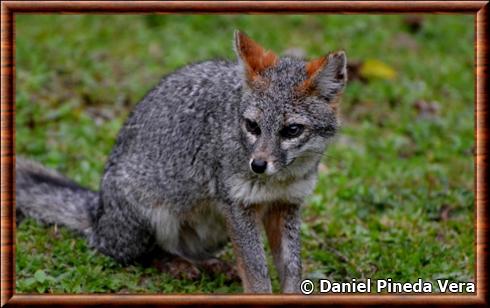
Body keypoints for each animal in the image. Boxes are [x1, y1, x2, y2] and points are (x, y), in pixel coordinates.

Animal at [17, 31, 346, 294]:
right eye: (252, 126)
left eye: (292, 130)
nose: (258, 165)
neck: (280, 180)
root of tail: (98, 212)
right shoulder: (239, 206)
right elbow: (256, 273)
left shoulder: (285, 206)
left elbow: (291, 269)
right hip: (152, 217)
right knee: (132, 254)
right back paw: (175, 264)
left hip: (215, 229)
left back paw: (207, 264)